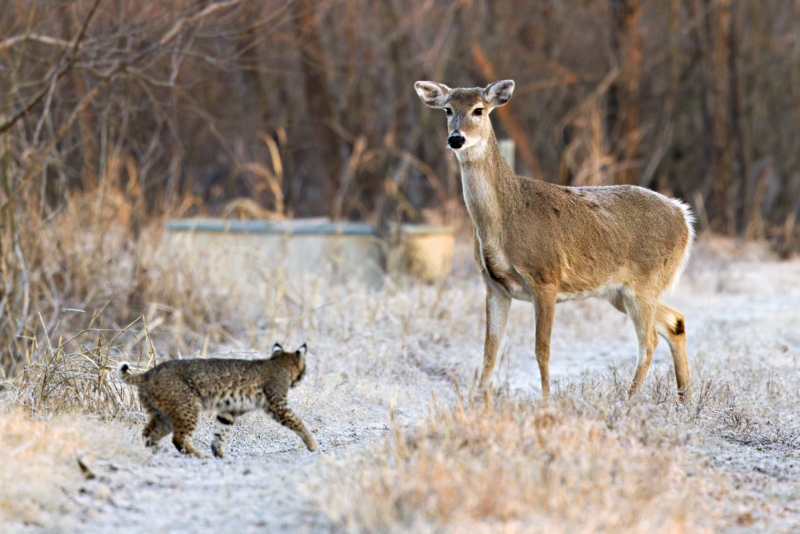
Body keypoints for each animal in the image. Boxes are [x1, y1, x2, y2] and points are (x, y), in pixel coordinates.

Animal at [412, 79, 692, 402]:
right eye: (447, 109)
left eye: (478, 110)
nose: (456, 139)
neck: (505, 217)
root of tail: (683, 217)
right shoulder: (493, 286)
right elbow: (490, 352)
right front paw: (478, 401)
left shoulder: (545, 277)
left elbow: (541, 350)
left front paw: (547, 401)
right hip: (619, 292)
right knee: (675, 321)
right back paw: (686, 400)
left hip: (644, 282)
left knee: (649, 341)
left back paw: (628, 400)